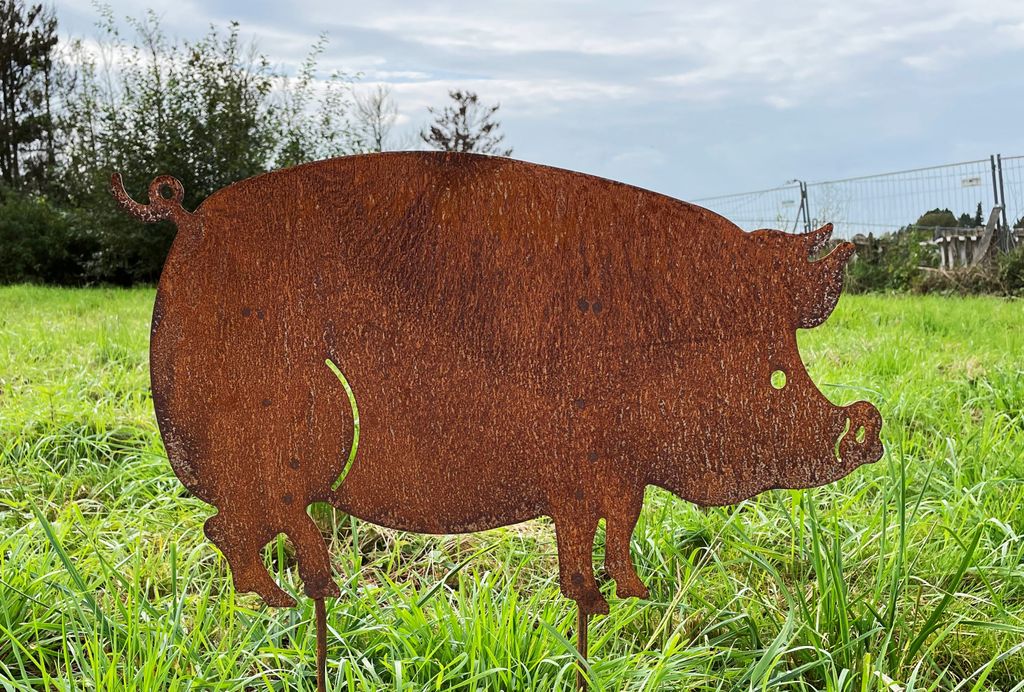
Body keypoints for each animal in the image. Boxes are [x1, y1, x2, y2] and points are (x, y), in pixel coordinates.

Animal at [112, 152, 882, 615]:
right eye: (778, 375)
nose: (869, 428)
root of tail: (186, 218)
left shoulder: (617, 473)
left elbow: (616, 526)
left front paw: (627, 597)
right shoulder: (583, 466)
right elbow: (586, 530)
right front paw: (597, 603)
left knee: (261, 524)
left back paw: (318, 593)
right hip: (291, 438)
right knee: (231, 525)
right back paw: (290, 604)